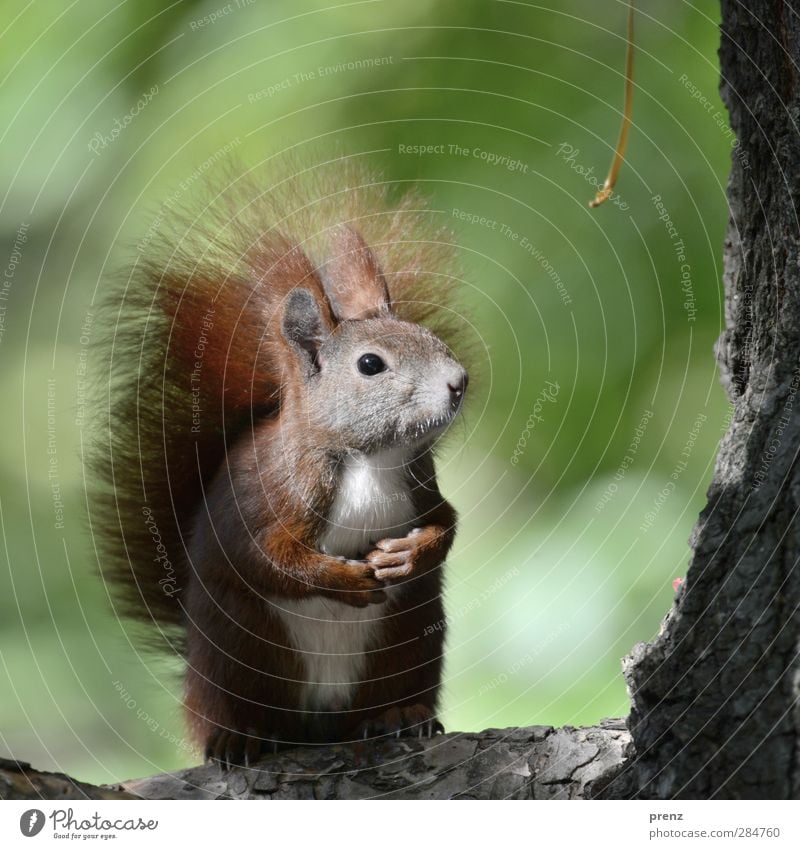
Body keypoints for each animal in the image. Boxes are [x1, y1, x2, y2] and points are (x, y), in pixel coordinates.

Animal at [93, 162, 468, 764]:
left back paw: (400, 718)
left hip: (408, 642)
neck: (369, 459)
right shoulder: (278, 492)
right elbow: (268, 558)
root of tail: (320, 722)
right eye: (370, 365)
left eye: (431, 337)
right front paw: (341, 579)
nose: (459, 383)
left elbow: (446, 521)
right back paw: (239, 737)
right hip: (240, 654)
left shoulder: (422, 479)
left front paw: (410, 553)